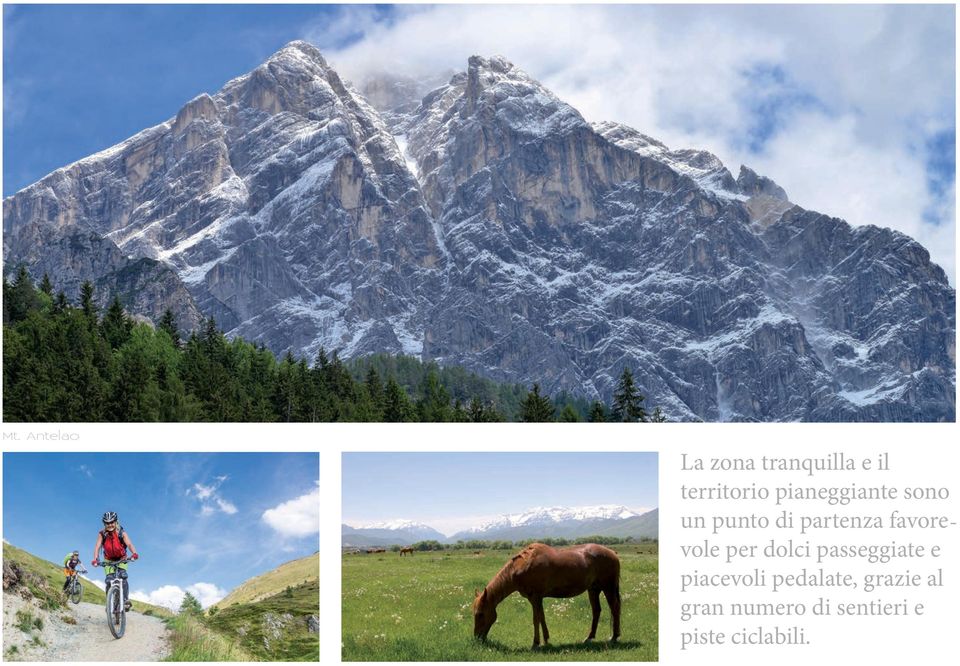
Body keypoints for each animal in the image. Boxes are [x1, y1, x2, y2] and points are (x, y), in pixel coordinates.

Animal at [472, 544, 624, 644]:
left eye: (480, 614)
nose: (477, 638)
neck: (522, 565)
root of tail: (612, 553)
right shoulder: (536, 599)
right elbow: (541, 618)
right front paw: (546, 640)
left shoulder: (535, 597)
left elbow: (536, 619)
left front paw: (536, 643)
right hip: (593, 590)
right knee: (596, 611)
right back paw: (589, 637)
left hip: (608, 588)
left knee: (615, 608)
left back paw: (614, 637)